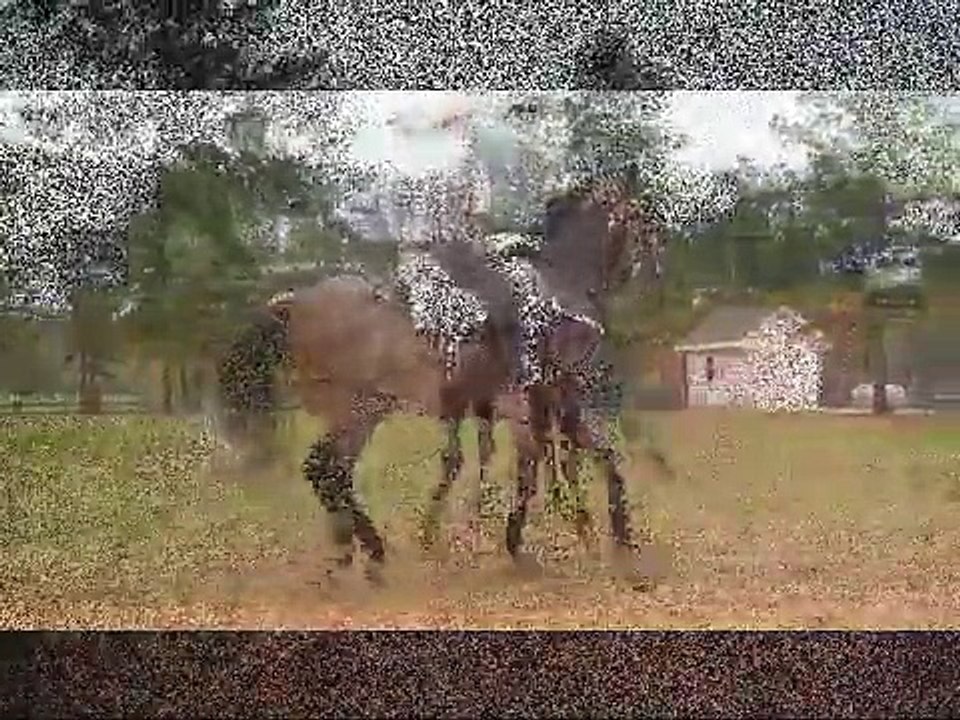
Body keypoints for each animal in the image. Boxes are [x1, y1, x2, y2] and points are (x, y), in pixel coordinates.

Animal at [214, 175, 665, 584]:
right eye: (641, 219)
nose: (653, 272)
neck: (555, 287)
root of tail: (293, 304)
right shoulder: (536, 403)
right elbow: (534, 473)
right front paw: (522, 546)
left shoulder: (535, 407)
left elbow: (597, 461)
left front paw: (618, 542)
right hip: (355, 410)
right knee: (324, 469)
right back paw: (362, 551)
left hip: (362, 411)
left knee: (331, 473)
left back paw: (362, 552)